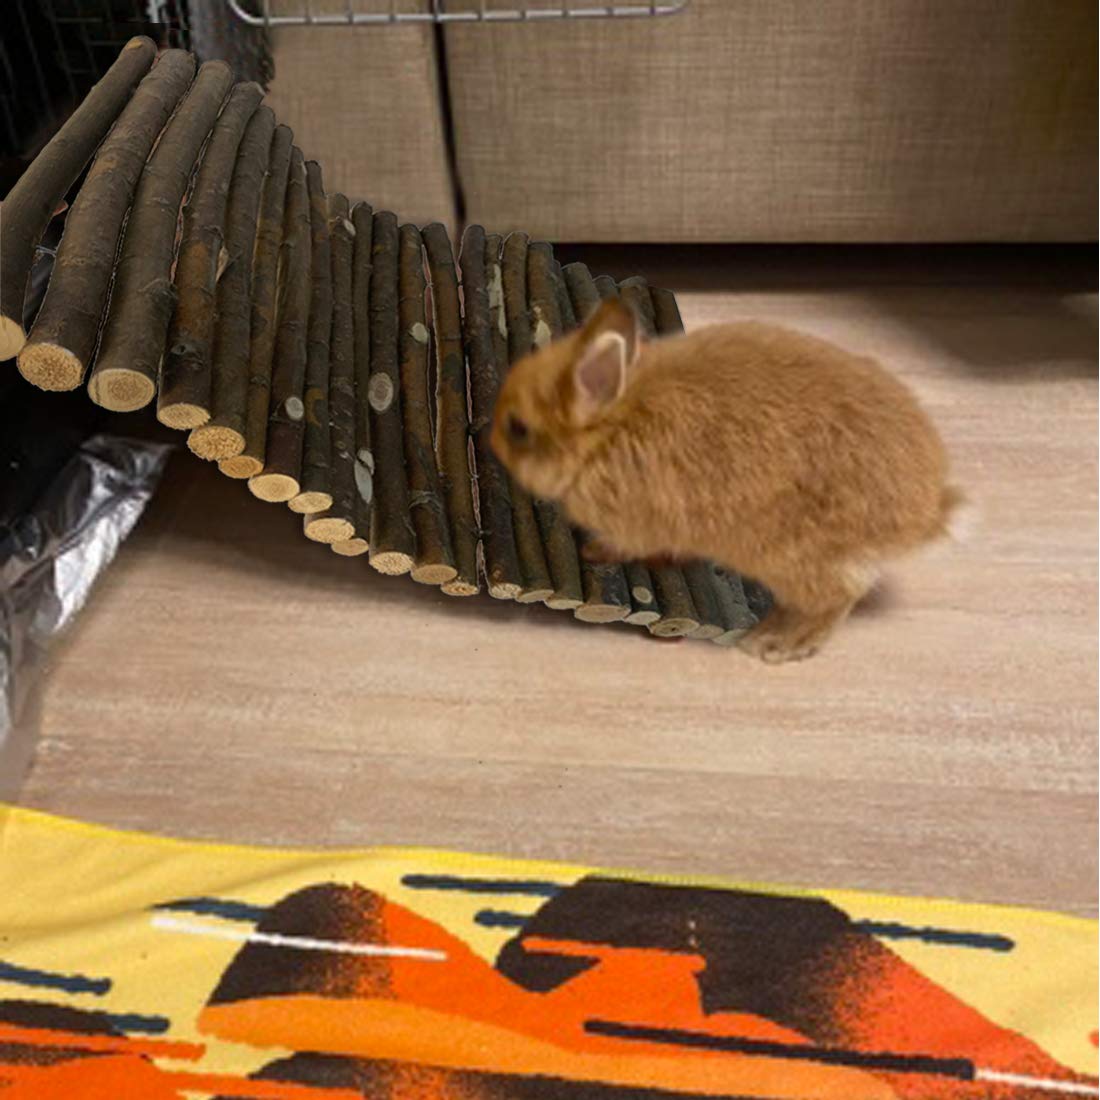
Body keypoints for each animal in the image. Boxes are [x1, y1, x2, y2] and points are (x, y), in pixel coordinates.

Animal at [490, 299, 963, 663]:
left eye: (518, 428)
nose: (490, 439)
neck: (611, 428)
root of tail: (927, 512)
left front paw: (594, 550)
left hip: (793, 556)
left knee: (836, 600)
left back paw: (774, 644)